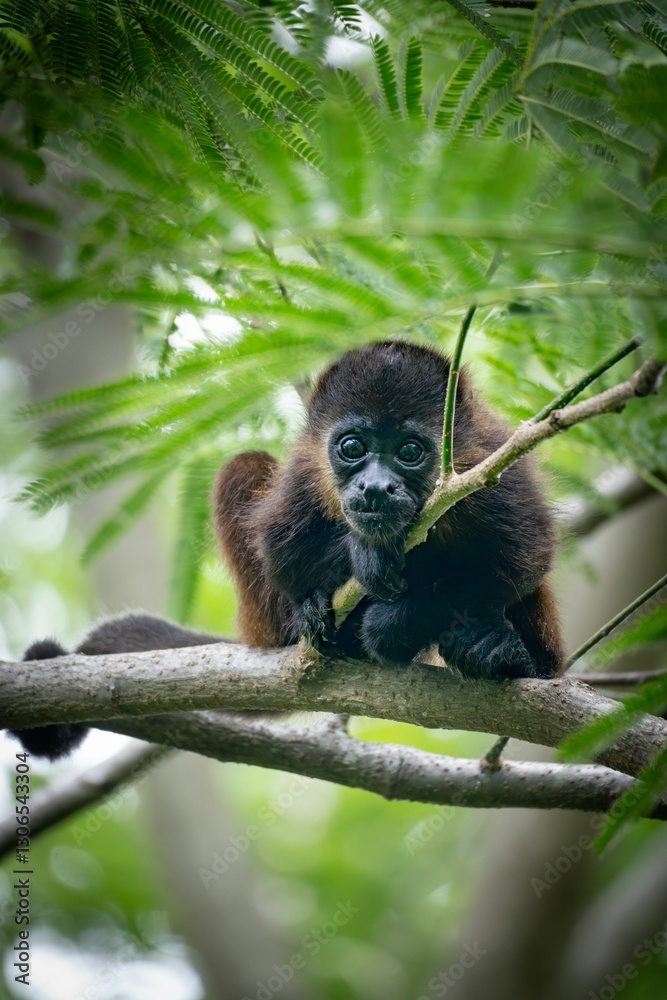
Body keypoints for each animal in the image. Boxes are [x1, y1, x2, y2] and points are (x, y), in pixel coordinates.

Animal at [7, 339, 562, 761]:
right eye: (353, 447)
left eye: (410, 451)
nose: (376, 489)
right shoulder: (303, 470)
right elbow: (280, 550)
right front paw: (365, 554)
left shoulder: (495, 461)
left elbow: (525, 553)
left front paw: (401, 619)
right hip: (263, 619)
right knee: (242, 467)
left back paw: (512, 656)